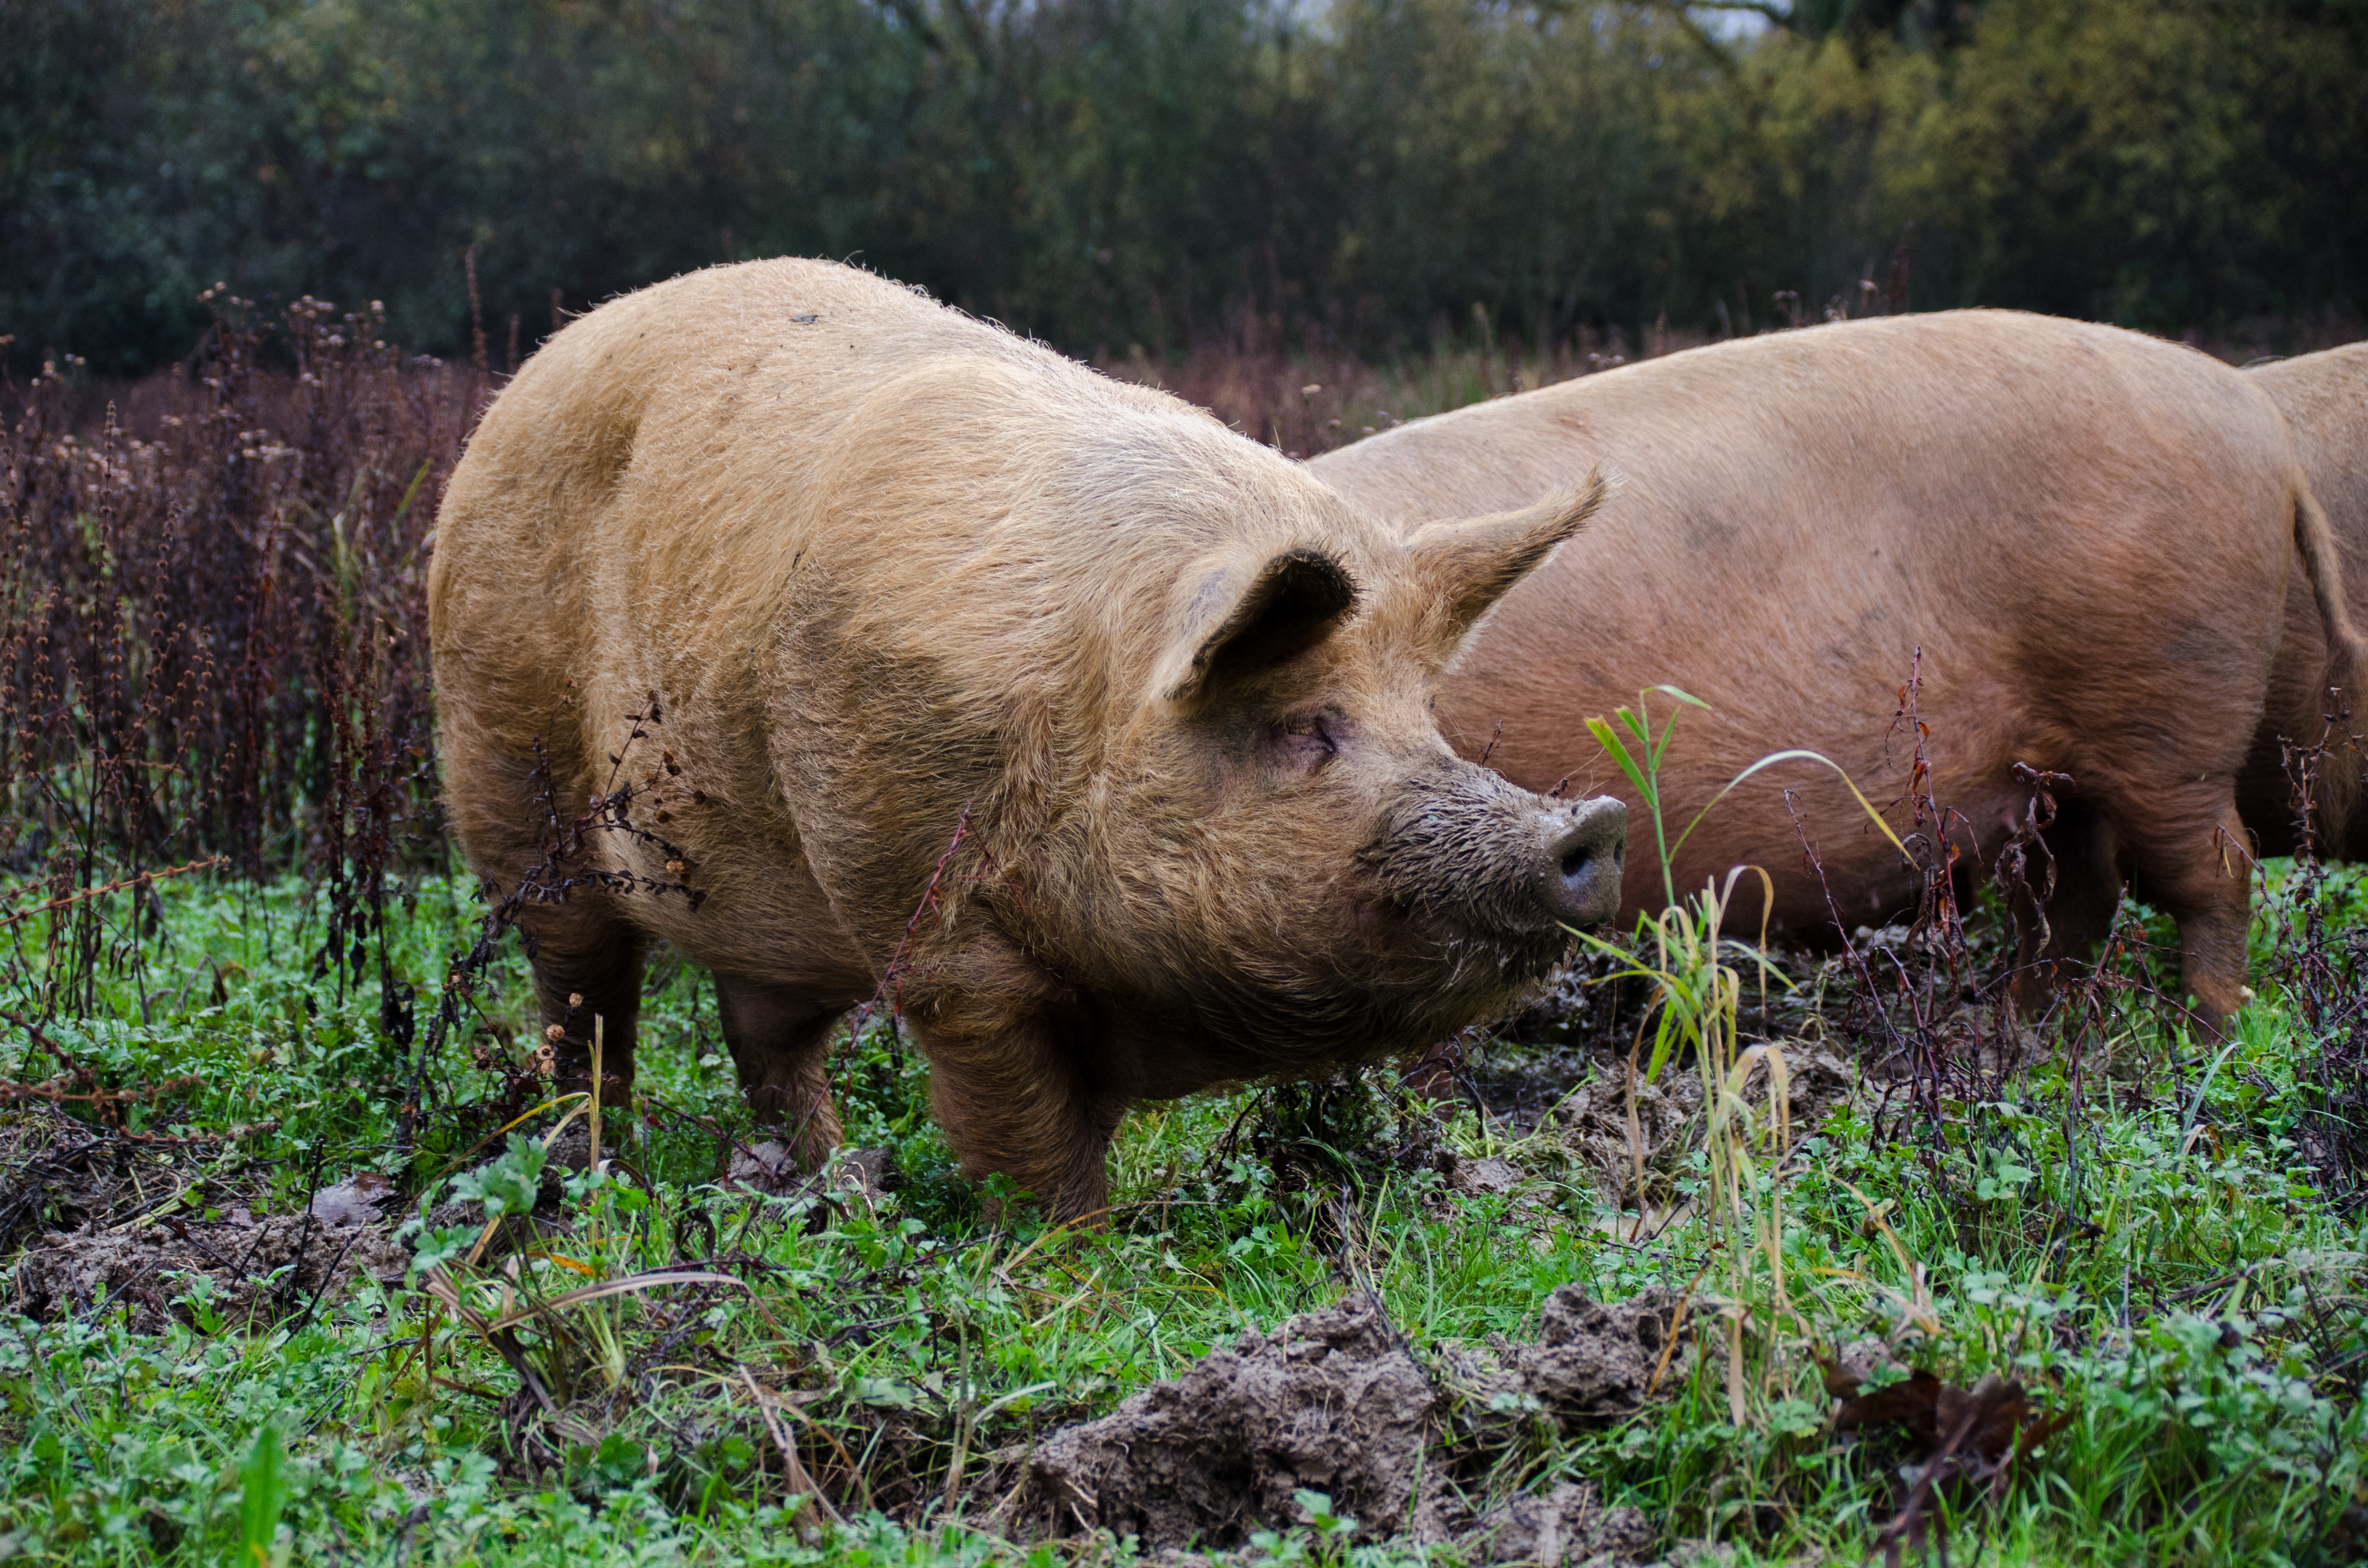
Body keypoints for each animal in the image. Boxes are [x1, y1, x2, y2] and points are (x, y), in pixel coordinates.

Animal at [427, 259, 1626, 1220]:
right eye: (1303, 730)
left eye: (1424, 719)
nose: (1592, 820)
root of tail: (522, 383)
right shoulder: (925, 914)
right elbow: (1022, 1128)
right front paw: (1071, 1263)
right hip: (504, 775)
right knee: (581, 1001)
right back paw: (588, 1176)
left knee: (763, 1035)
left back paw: (835, 1193)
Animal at [1308, 311, 2364, 1029]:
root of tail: (2259, 429)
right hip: (2064, 769)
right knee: (2077, 895)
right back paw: (2020, 1031)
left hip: (2169, 713)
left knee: (2214, 874)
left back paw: (2203, 1036)